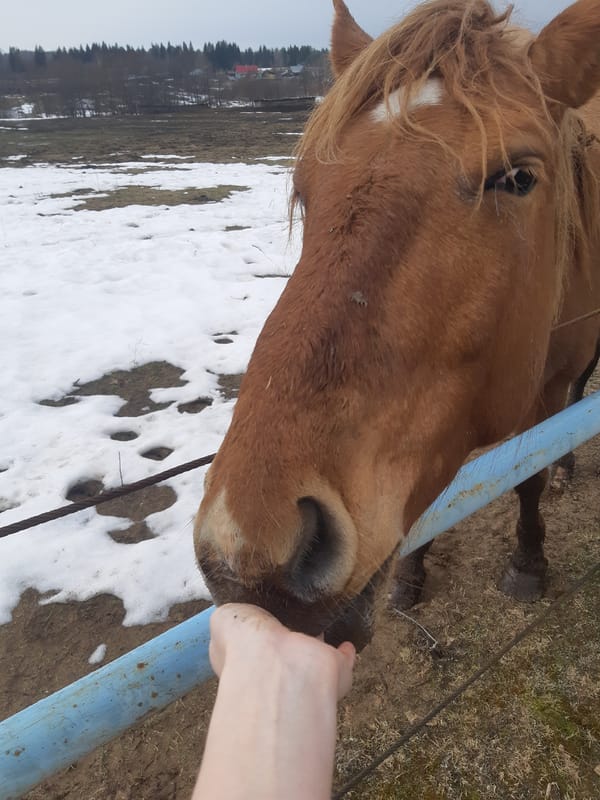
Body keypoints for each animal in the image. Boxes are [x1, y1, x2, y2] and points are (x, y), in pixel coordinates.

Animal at [195, 0, 600, 649]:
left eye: (518, 177)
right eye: (306, 185)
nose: (251, 544)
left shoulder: (546, 382)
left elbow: (529, 476)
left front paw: (528, 563)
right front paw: (411, 574)